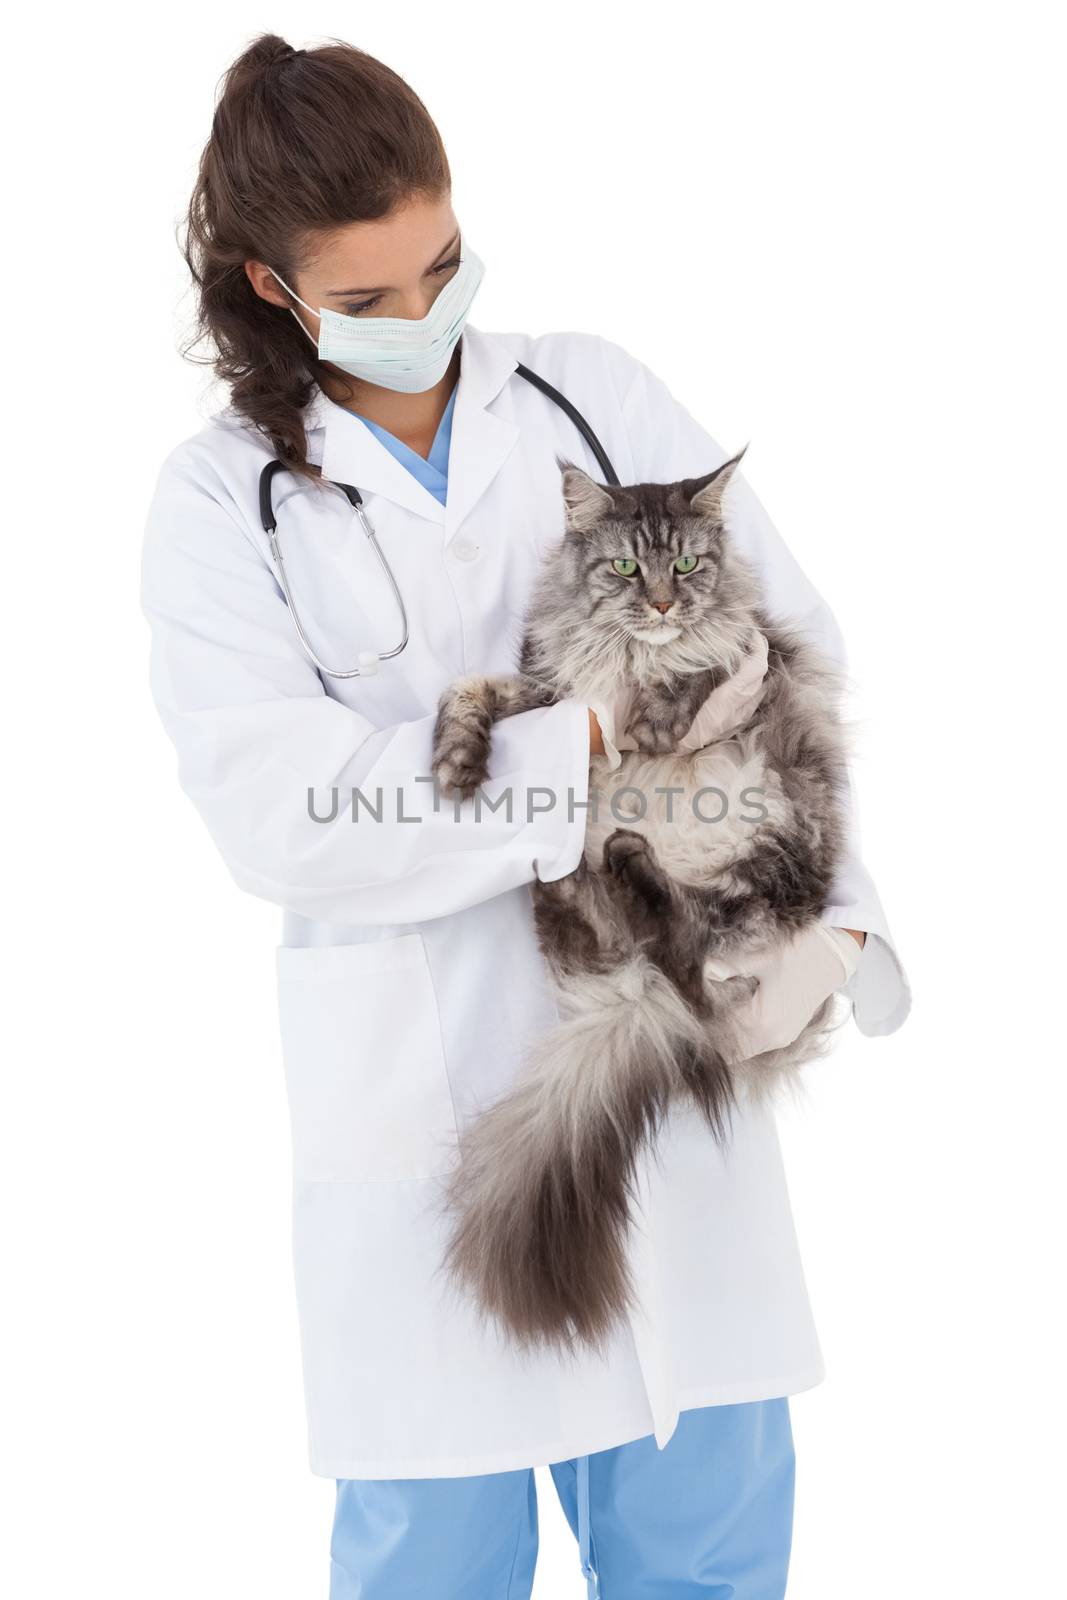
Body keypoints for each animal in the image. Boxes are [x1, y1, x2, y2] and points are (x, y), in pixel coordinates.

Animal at [428, 444, 844, 1356]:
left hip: (776, 849)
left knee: (689, 945)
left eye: (684, 565)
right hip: (609, 912)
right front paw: (456, 764)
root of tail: (638, 997)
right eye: (625, 566)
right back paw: (585, 871)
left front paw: (656, 715)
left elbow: (699, 669)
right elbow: (472, 693)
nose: (659, 603)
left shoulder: (758, 657)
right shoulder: (549, 690)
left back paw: (636, 864)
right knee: (615, 932)